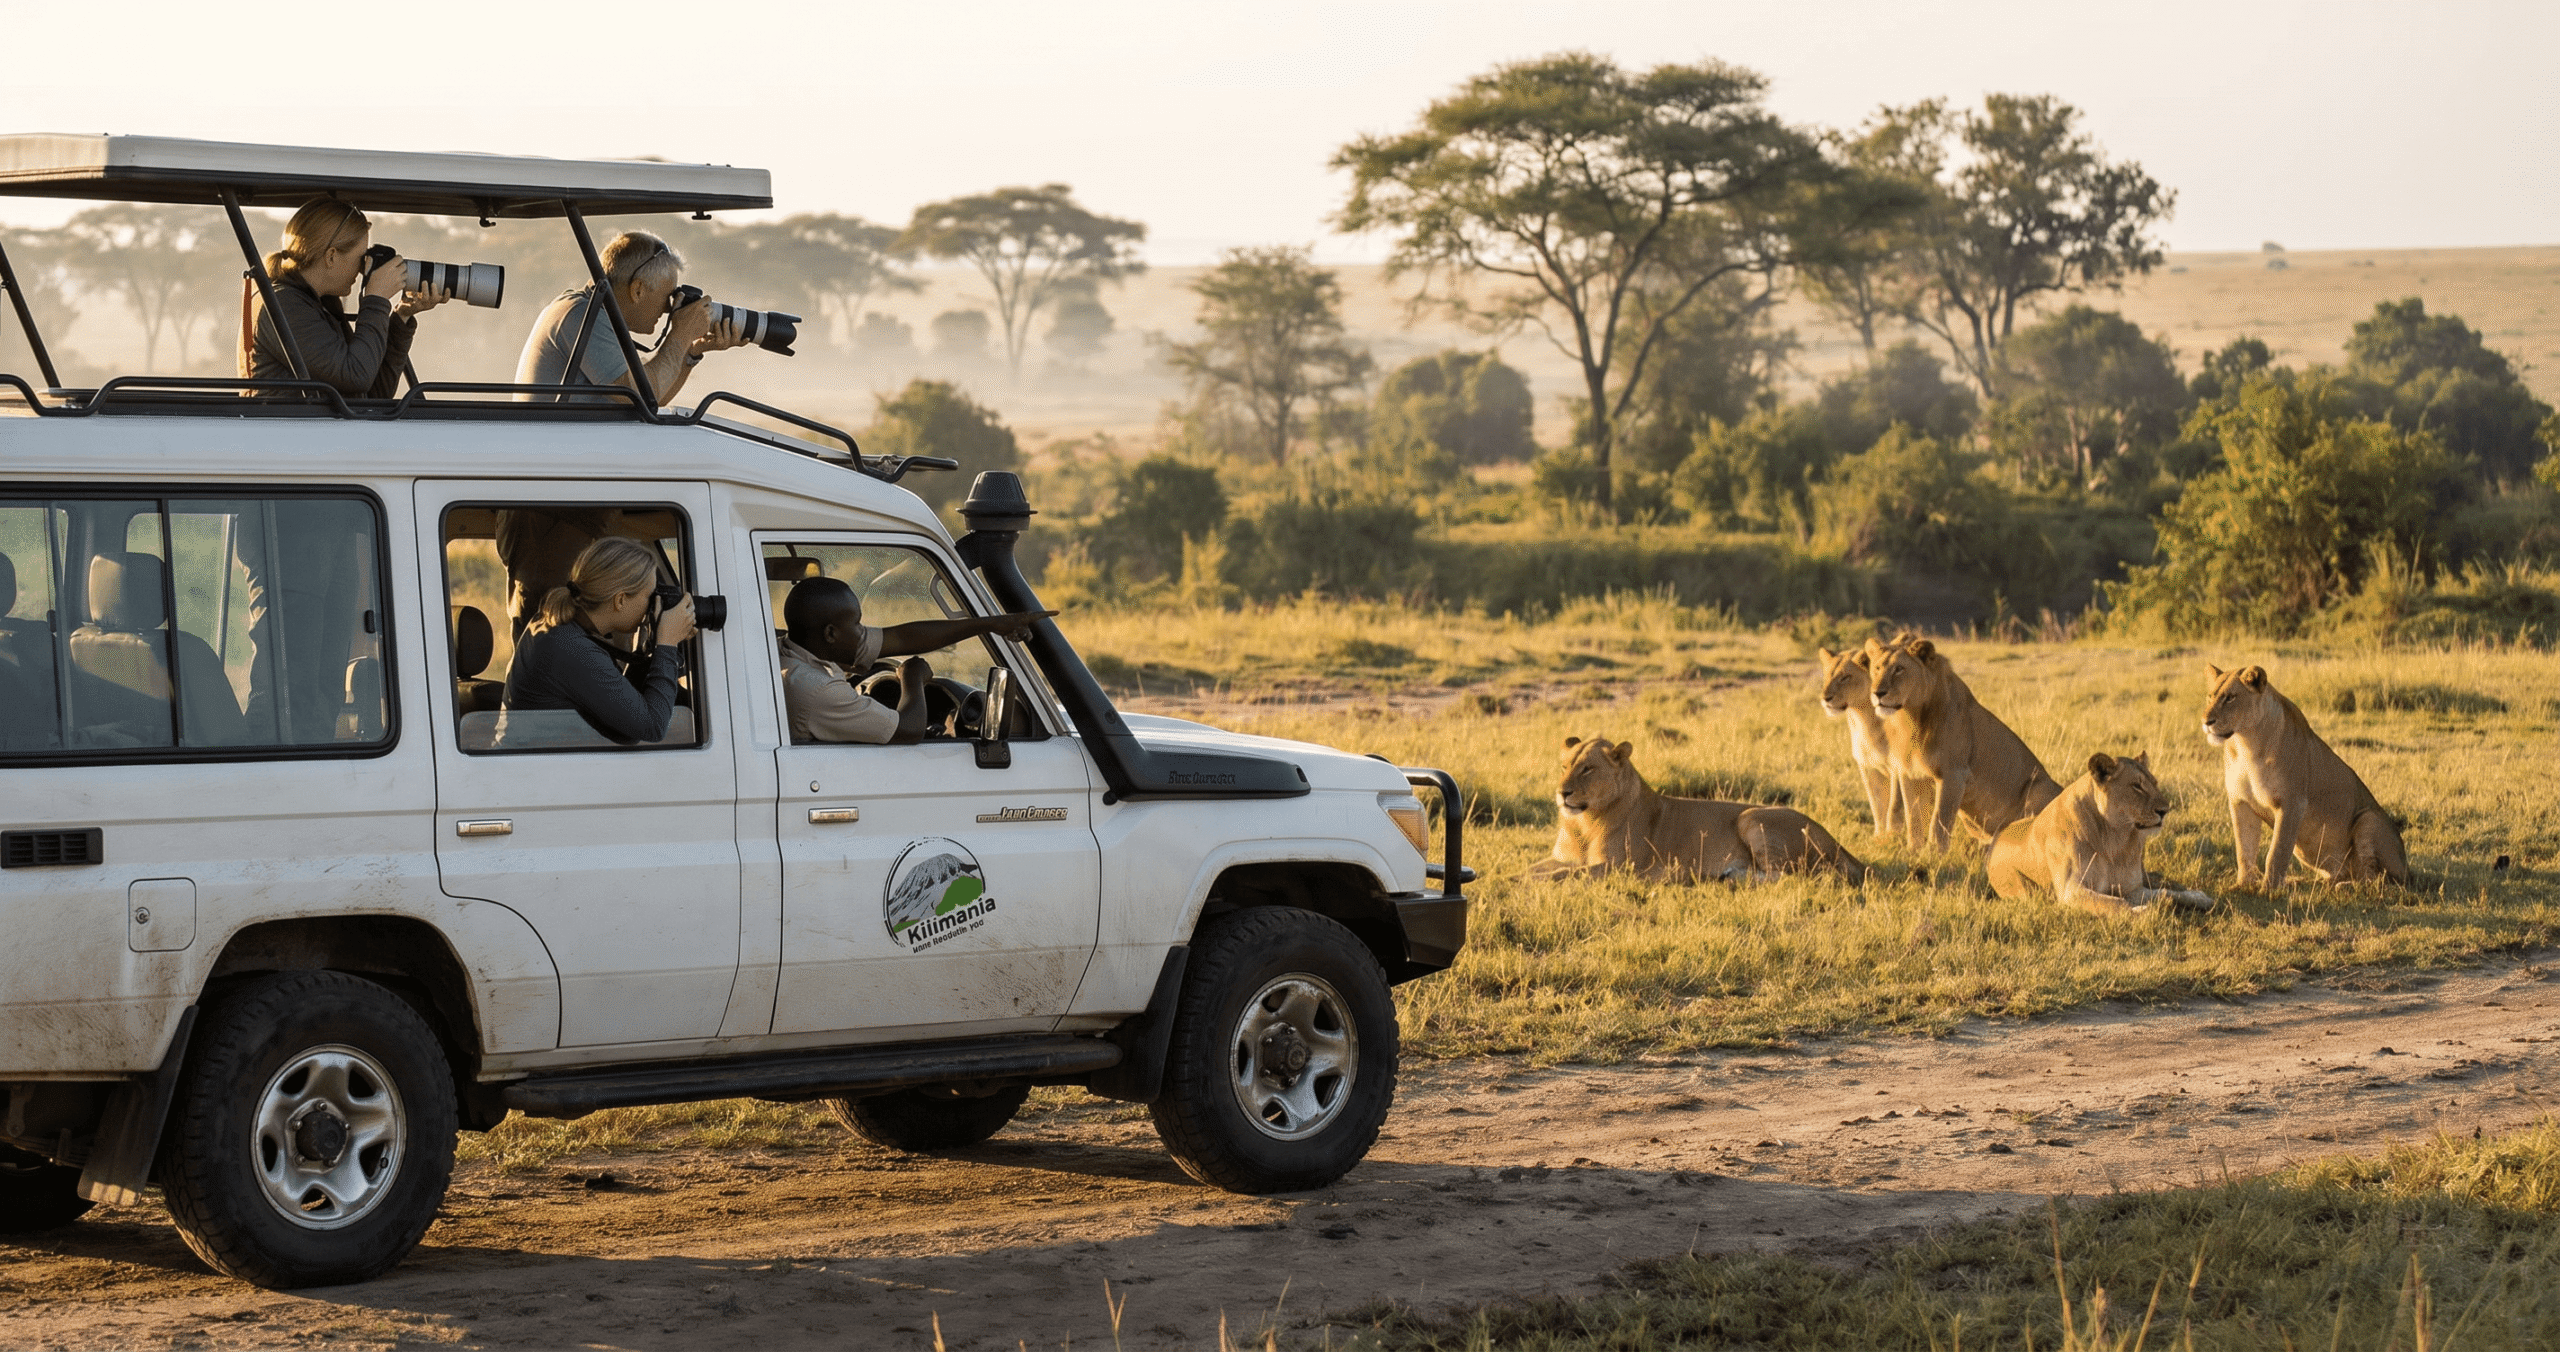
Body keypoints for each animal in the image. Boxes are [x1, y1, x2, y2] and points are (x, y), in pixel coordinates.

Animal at [1524, 737, 1865, 884]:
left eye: (1588, 769)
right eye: (1565, 766)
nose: (1562, 793)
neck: (1583, 822)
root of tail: (1836, 841)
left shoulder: (1621, 867)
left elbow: (1564, 874)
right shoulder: (1563, 857)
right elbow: (1538, 868)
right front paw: (1513, 878)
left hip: (1751, 817)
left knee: (1803, 876)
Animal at [1817, 644, 1903, 839]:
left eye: (1845, 677)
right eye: (1827, 676)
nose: (1825, 698)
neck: (1863, 719)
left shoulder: (1898, 768)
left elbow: (1894, 807)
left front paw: (1891, 838)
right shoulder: (1868, 767)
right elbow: (1877, 806)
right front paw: (1878, 837)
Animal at [1865, 636, 2062, 852]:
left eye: (1899, 669)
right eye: (1877, 668)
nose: (1877, 693)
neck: (1909, 718)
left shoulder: (1953, 774)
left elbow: (1939, 820)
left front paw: (1934, 854)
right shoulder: (1910, 774)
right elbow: (1913, 817)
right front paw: (1913, 851)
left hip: (2039, 787)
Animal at [1988, 752, 2211, 915]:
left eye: (2154, 783)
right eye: (2137, 786)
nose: (2165, 810)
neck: (2115, 839)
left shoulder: (2132, 889)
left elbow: (2166, 893)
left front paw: (2199, 897)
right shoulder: (2072, 891)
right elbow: (2116, 904)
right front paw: (2143, 912)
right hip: (2023, 888)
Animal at [2202, 664, 2409, 888]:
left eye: (2231, 698)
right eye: (2210, 696)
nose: (2206, 721)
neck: (2244, 745)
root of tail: (2407, 868)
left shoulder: (2292, 803)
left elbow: (2277, 852)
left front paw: (2268, 889)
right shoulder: (2240, 803)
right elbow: (2244, 850)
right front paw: (2242, 885)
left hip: (2368, 819)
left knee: (2378, 880)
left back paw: (2344, 887)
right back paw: (2299, 881)